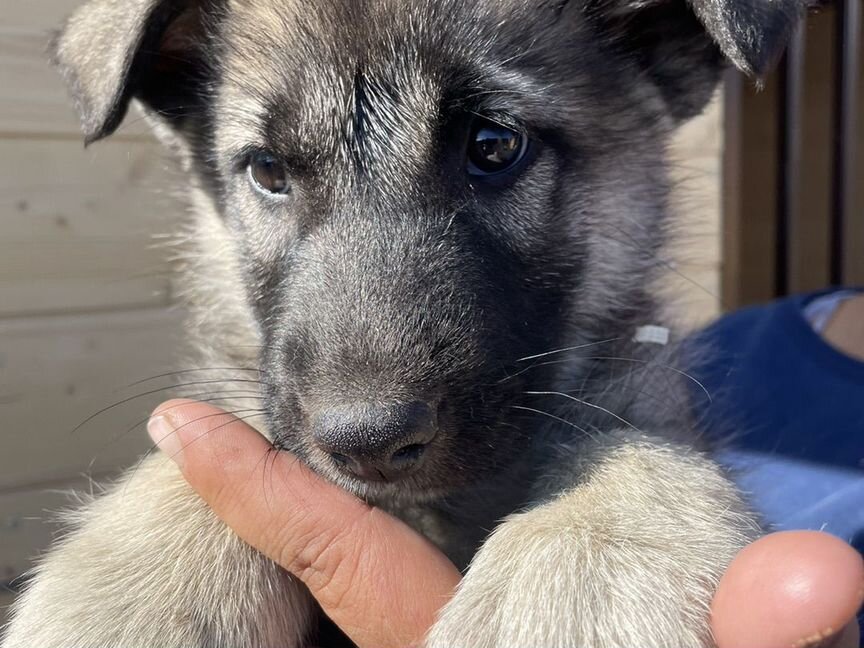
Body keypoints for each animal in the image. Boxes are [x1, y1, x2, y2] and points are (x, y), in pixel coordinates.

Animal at [1, 1, 808, 648]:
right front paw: (129, 593)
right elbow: (191, 465)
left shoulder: (638, 389)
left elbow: (631, 448)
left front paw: (573, 584)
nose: (367, 443)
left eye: (494, 145)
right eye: (268, 171)